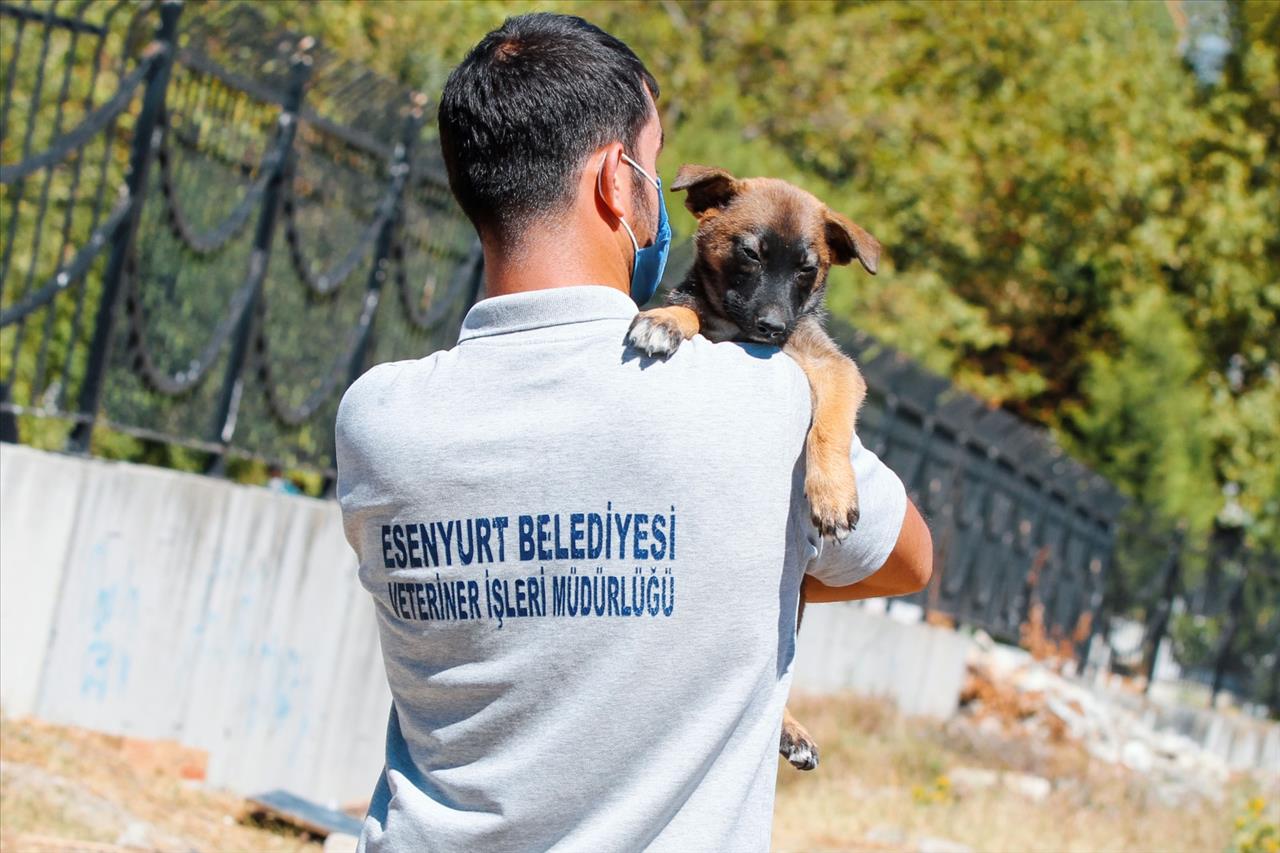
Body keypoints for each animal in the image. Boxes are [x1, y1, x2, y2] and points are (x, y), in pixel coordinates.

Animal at [627, 162, 880, 768]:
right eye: (750, 254)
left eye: (808, 270)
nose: (772, 327)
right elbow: (688, 309)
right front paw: (667, 319)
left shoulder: (832, 368)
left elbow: (830, 425)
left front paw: (833, 494)